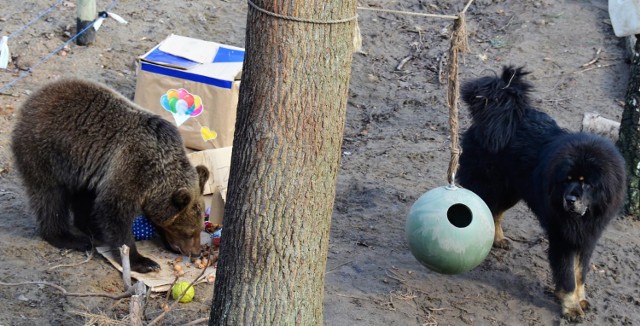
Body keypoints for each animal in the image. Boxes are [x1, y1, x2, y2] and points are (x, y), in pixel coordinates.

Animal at [10, 78, 210, 272]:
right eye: (188, 232)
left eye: (200, 228)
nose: (195, 252)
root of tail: (32, 99)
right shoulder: (134, 165)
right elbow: (114, 209)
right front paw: (143, 262)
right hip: (47, 151)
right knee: (49, 197)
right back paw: (70, 238)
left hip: (80, 166)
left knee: (82, 195)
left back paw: (91, 228)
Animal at [458, 65, 628, 318]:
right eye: (568, 180)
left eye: (587, 183)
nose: (570, 199)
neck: (585, 215)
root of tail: (503, 112)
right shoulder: (562, 237)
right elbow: (567, 276)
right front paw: (570, 306)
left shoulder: (587, 237)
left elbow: (580, 273)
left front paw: (580, 299)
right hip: (488, 185)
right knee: (478, 209)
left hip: (511, 191)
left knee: (495, 212)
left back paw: (497, 239)